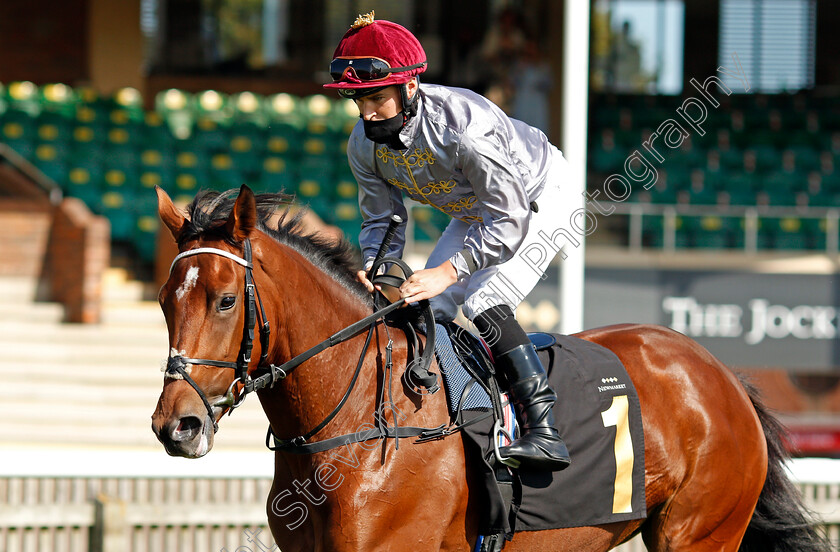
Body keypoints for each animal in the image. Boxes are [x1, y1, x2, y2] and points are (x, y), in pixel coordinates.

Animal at [151, 187, 828, 552]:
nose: (175, 426)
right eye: (164, 300)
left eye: (226, 300)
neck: (362, 423)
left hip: (700, 533)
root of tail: (721, 374)